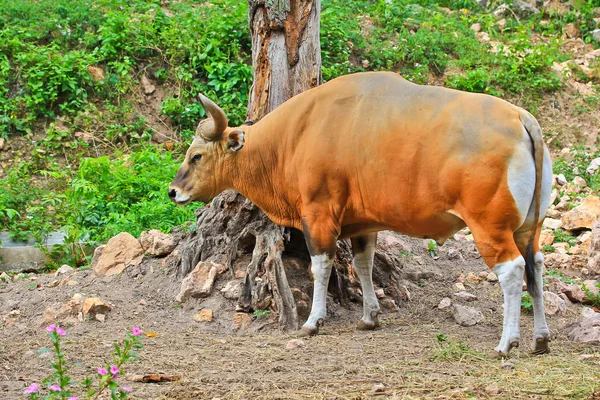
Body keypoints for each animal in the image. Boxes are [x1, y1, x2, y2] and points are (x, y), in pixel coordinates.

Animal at [169, 71, 552, 356]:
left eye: (196, 156)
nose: (173, 191)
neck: (296, 135)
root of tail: (522, 119)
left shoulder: (318, 214)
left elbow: (320, 267)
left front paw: (313, 321)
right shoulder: (364, 225)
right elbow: (363, 265)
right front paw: (370, 317)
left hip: (489, 227)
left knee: (512, 270)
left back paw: (507, 343)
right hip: (530, 228)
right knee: (535, 266)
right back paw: (540, 339)